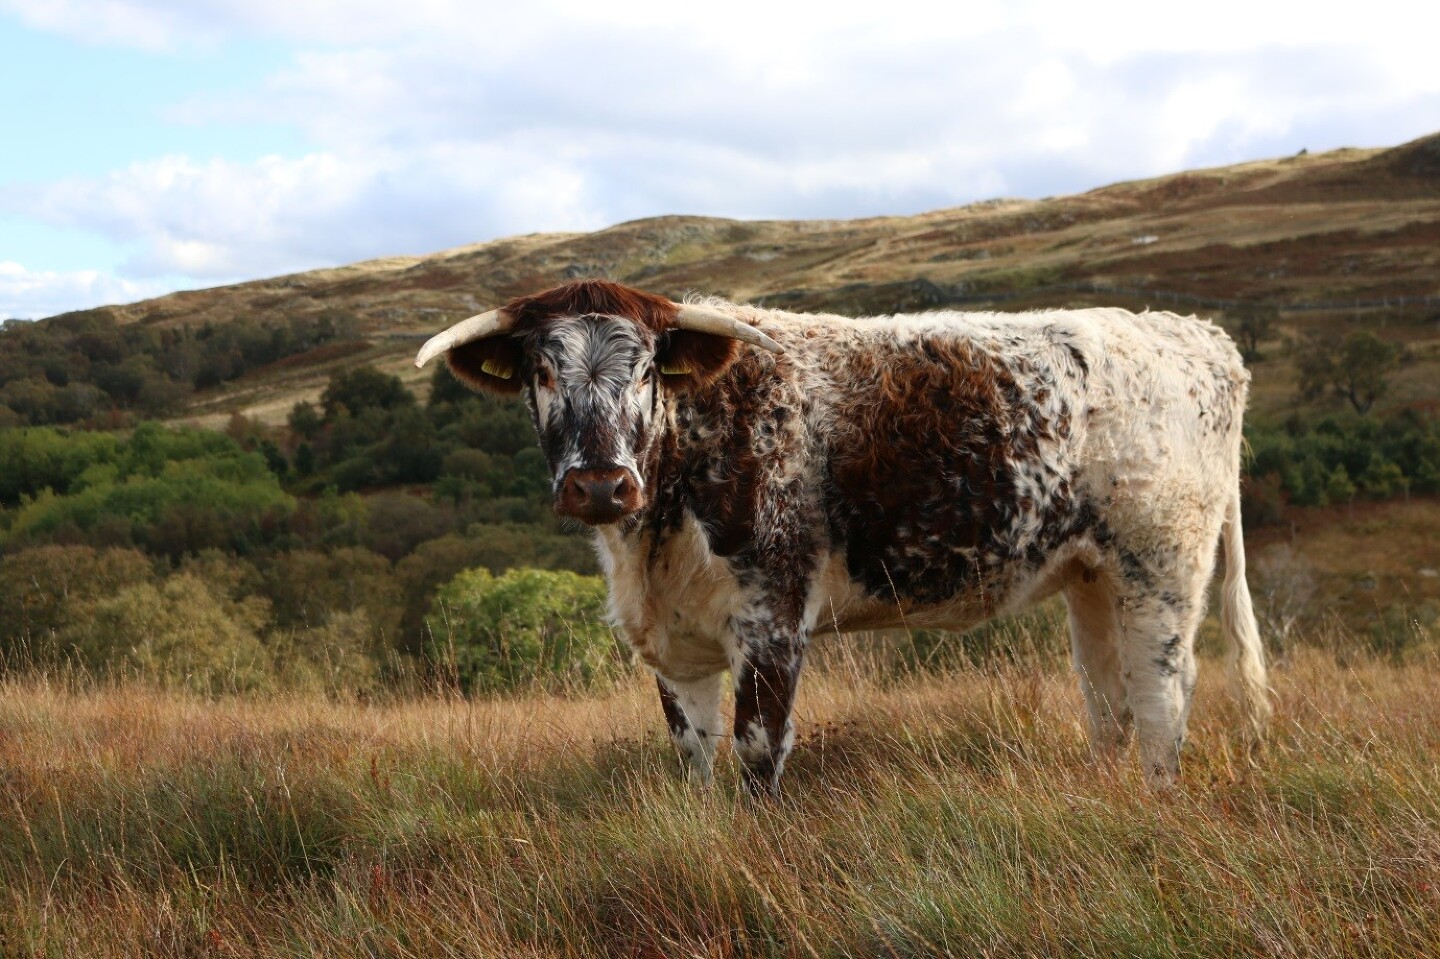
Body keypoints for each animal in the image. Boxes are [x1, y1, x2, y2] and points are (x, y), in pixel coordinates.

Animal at [415, 279, 1271, 797]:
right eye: (541, 372)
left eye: (650, 371)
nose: (600, 483)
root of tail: (1190, 332)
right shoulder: (676, 642)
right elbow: (695, 754)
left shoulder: (772, 620)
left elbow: (757, 750)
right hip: (1092, 574)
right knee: (1108, 701)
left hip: (1159, 563)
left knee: (1161, 695)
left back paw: (1156, 800)